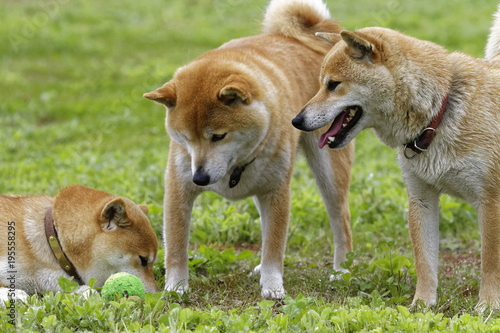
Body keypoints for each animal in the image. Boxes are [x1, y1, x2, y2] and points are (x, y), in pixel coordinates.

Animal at [144, 0, 356, 296]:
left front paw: (273, 285)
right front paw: (176, 287)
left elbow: (275, 247)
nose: (200, 178)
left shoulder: (277, 192)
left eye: (218, 136)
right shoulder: (178, 189)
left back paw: (342, 270)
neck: (233, 169)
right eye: (185, 137)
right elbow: (176, 247)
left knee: (341, 222)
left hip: (329, 174)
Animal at [292, 5, 500, 308]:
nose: (296, 120)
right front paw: (421, 306)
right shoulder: (421, 199)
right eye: (320, 84)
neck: (439, 114)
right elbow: (424, 263)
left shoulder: (490, 202)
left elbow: (490, 263)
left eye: (333, 84)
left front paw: (488, 306)